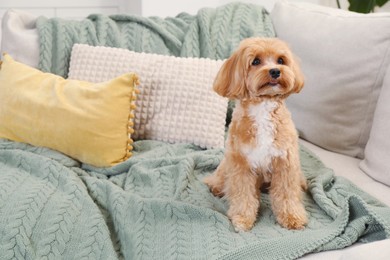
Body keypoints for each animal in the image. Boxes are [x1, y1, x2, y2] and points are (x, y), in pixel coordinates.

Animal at [204, 37, 308, 232]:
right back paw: (216, 187)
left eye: (281, 60)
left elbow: (287, 194)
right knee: (221, 178)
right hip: (227, 165)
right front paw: (242, 218)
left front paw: (292, 217)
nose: (275, 71)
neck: (263, 106)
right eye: (256, 61)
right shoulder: (241, 165)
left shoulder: (285, 163)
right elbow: (243, 195)